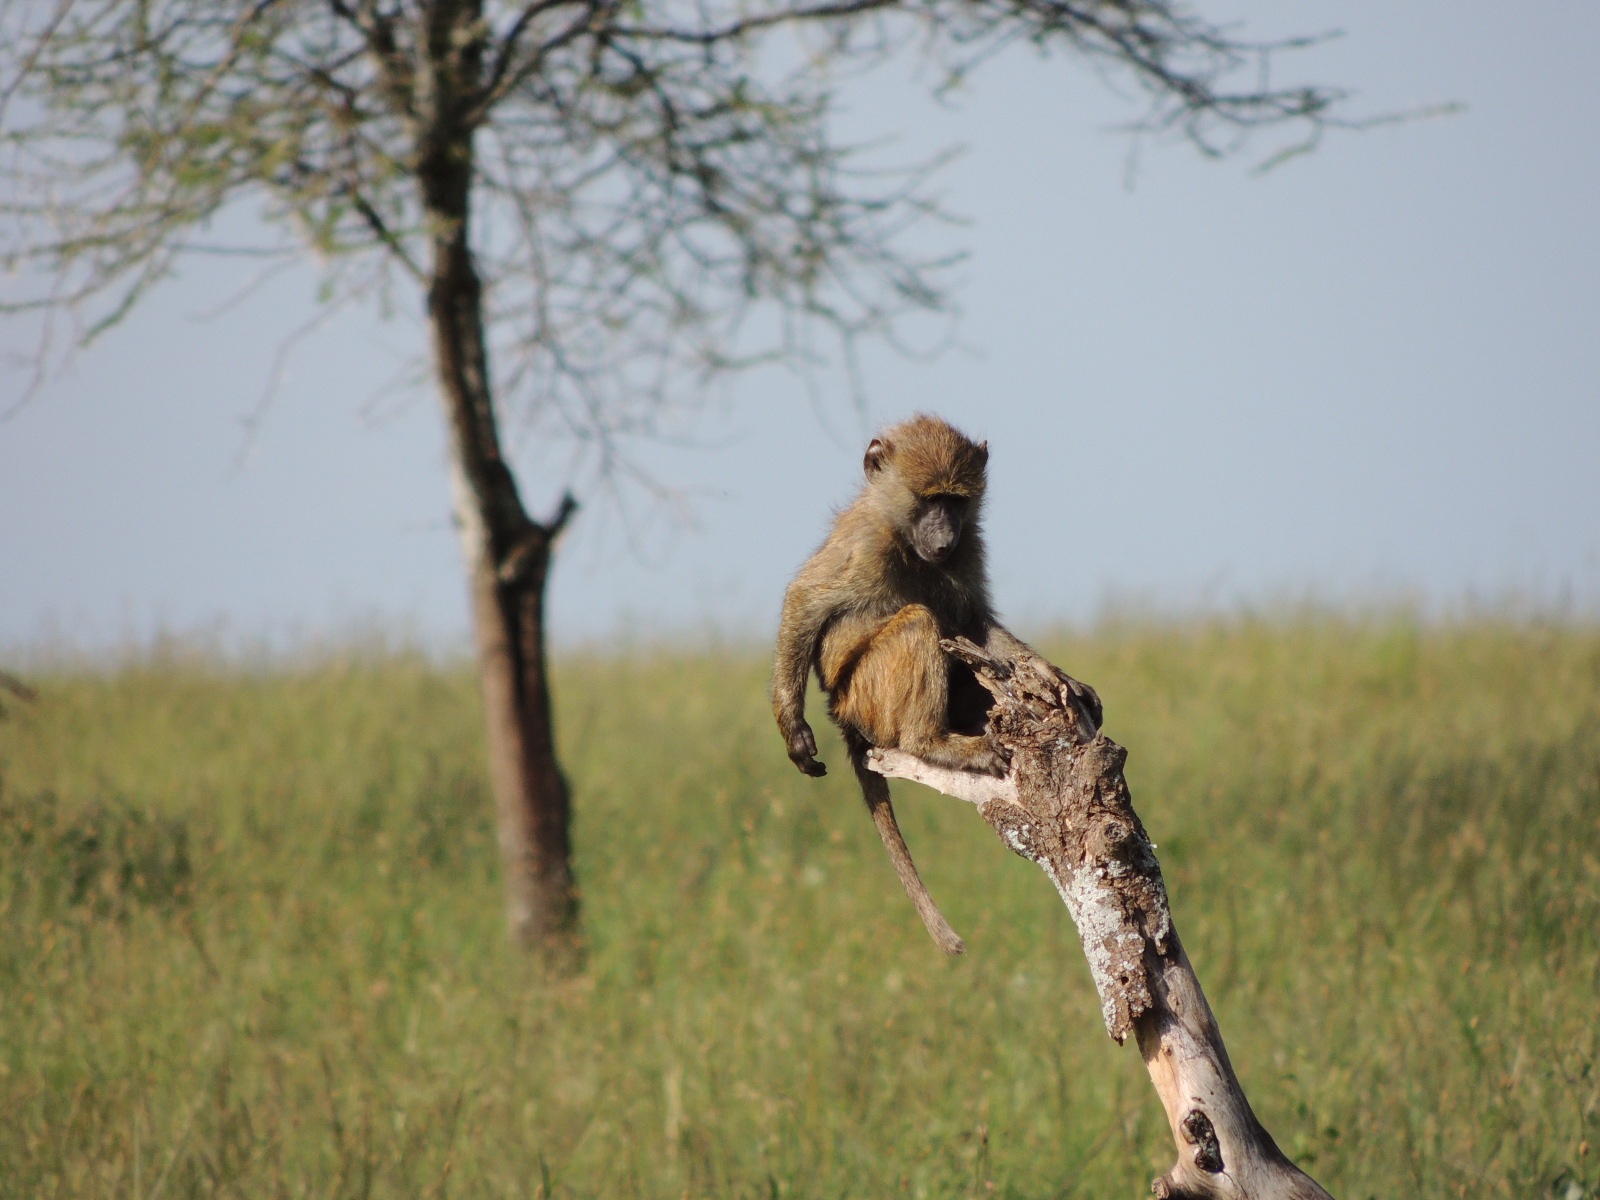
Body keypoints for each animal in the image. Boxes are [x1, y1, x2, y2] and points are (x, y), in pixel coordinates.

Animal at [772, 414, 1102, 955]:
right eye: (929, 500)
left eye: (955, 500)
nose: (944, 537)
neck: (905, 539)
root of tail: (843, 716)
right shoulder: (864, 543)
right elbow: (806, 598)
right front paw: (793, 728)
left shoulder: (969, 547)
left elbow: (973, 621)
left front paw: (1060, 678)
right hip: (868, 695)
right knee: (919, 624)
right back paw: (934, 742)